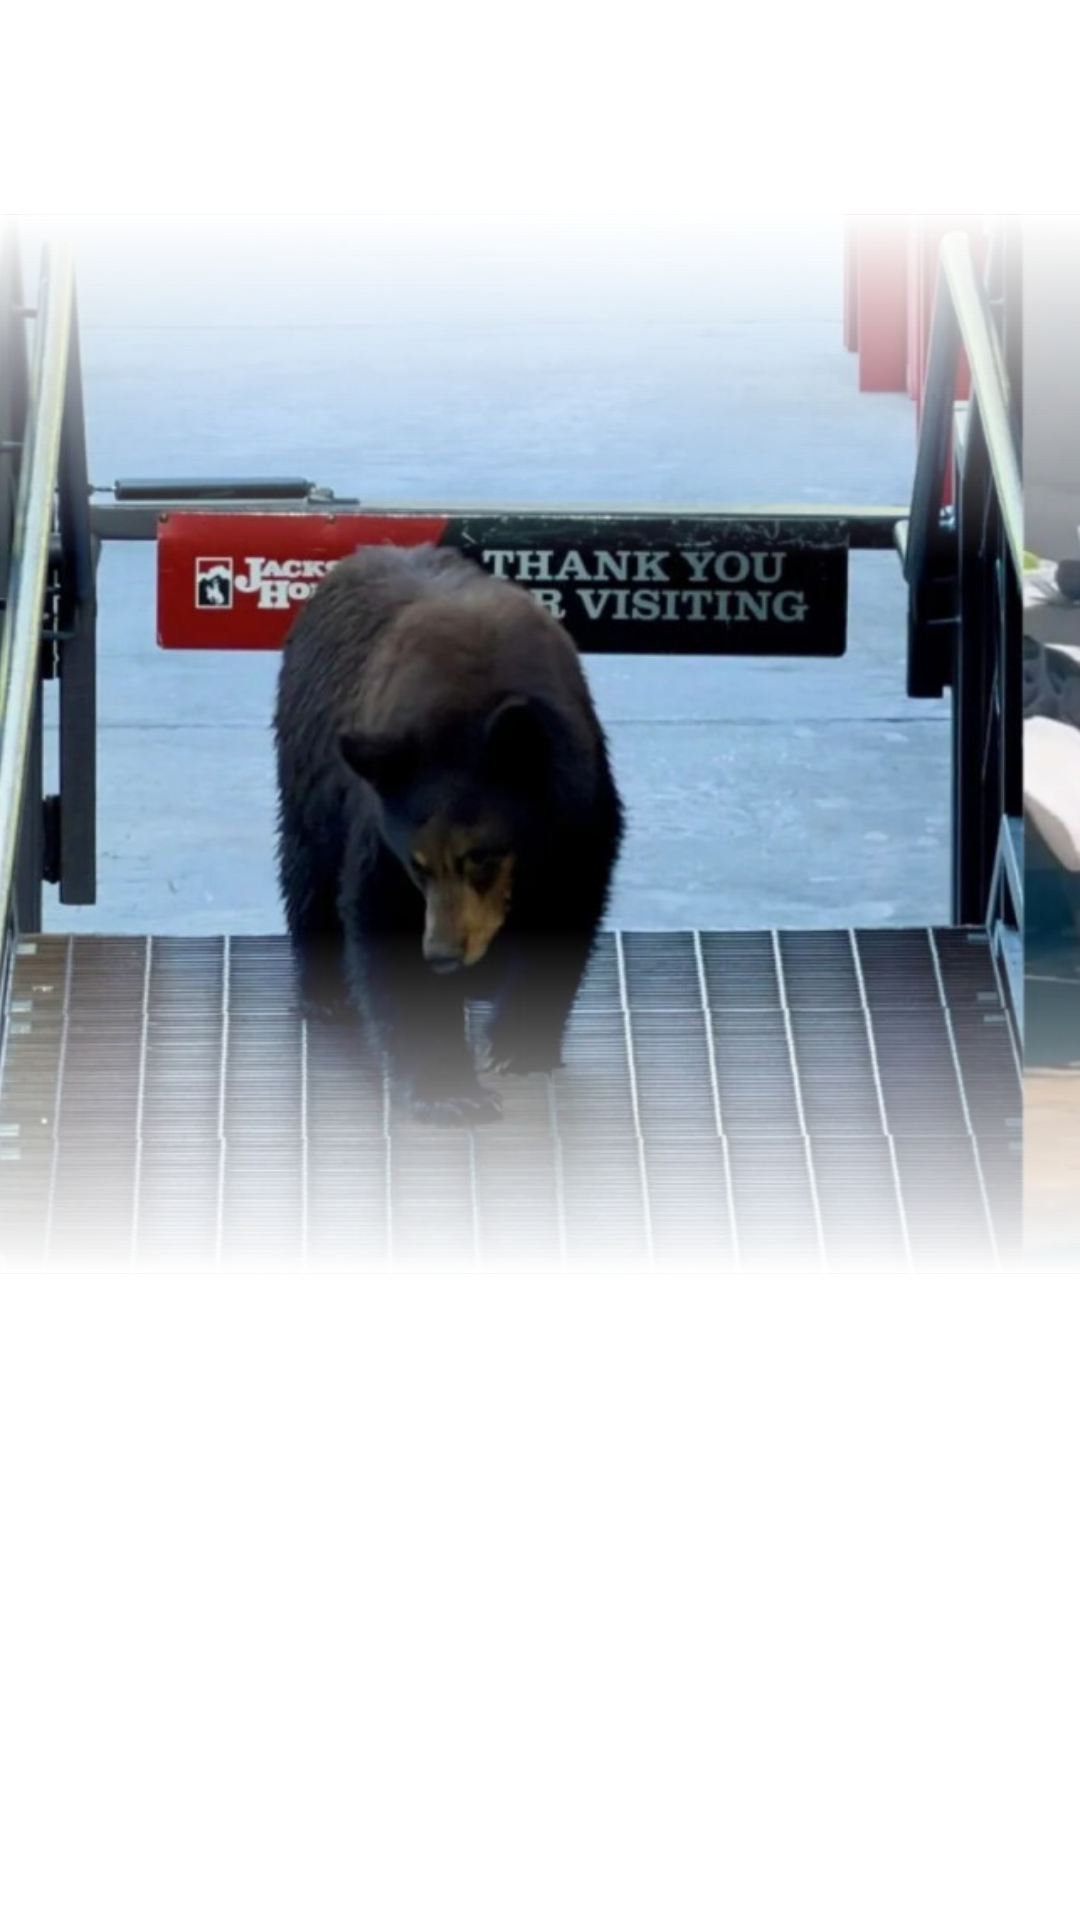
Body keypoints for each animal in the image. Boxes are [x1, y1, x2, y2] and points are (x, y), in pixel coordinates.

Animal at [272, 543, 625, 1127]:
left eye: (482, 857)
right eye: (418, 865)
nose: (442, 954)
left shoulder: (579, 803)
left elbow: (563, 914)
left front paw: (518, 1045)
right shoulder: (382, 813)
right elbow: (384, 922)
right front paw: (451, 1091)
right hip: (306, 757)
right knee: (310, 867)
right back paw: (325, 992)